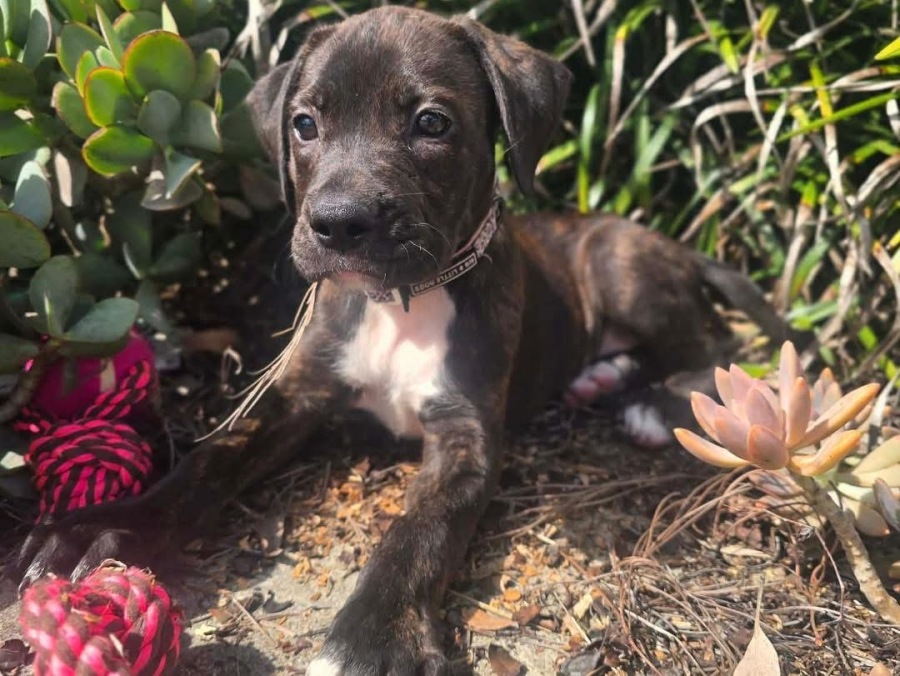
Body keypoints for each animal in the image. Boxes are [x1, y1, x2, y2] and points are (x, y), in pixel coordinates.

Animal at [13, 7, 796, 674]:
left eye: (431, 122)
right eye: (304, 123)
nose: (338, 221)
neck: (401, 301)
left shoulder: (466, 439)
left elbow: (416, 533)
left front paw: (373, 638)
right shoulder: (295, 394)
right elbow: (210, 459)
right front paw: (105, 530)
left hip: (620, 266)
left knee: (708, 353)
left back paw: (652, 406)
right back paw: (601, 378)